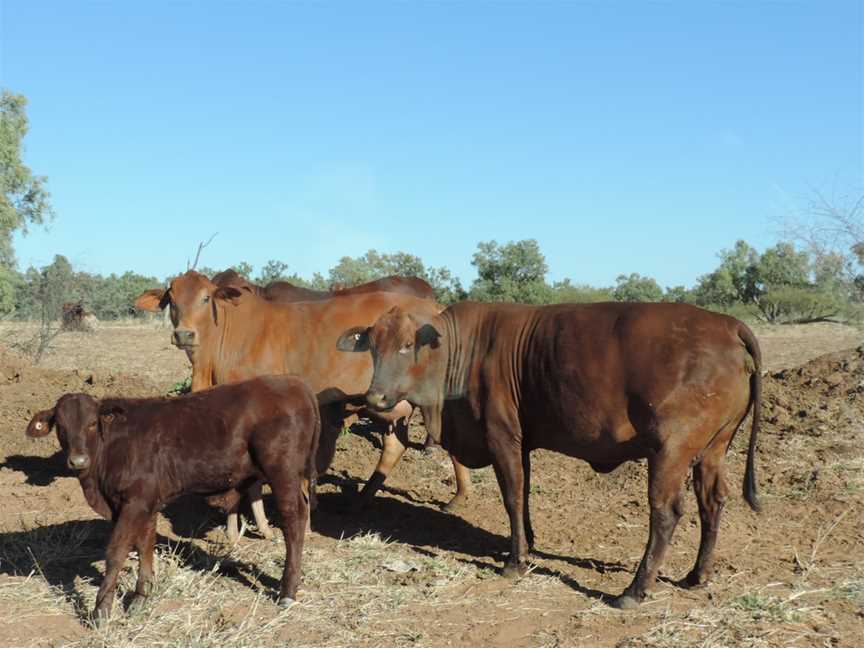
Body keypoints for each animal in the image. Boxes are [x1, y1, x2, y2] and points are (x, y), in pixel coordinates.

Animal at [28, 374, 324, 624]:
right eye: (61, 427)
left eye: (91, 424)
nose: (78, 460)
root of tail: (295, 383)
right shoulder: (146, 502)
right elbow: (144, 545)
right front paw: (140, 598)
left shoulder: (134, 501)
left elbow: (117, 551)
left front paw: (101, 611)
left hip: (282, 472)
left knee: (293, 518)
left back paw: (288, 591)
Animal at [135, 274, 472, 540]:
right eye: (171, 299)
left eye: (206, 298)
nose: (184, 334)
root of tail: (437, 308)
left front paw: (252, 526)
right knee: (396, 444)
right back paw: (362, 500)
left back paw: (458, 496)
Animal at [338, 302, 764, 612]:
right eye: (373, 346)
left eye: (407, 345)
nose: (375, 398)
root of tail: (727, 324)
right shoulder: (522, 441)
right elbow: (524, 494)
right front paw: (524, 543)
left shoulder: (502, 435)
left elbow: (512, 496)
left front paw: (515, 562)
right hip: (713, 449)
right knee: (712, 502)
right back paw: (697, 576)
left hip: (671, 451)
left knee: (666, 513)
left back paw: (633, 590)